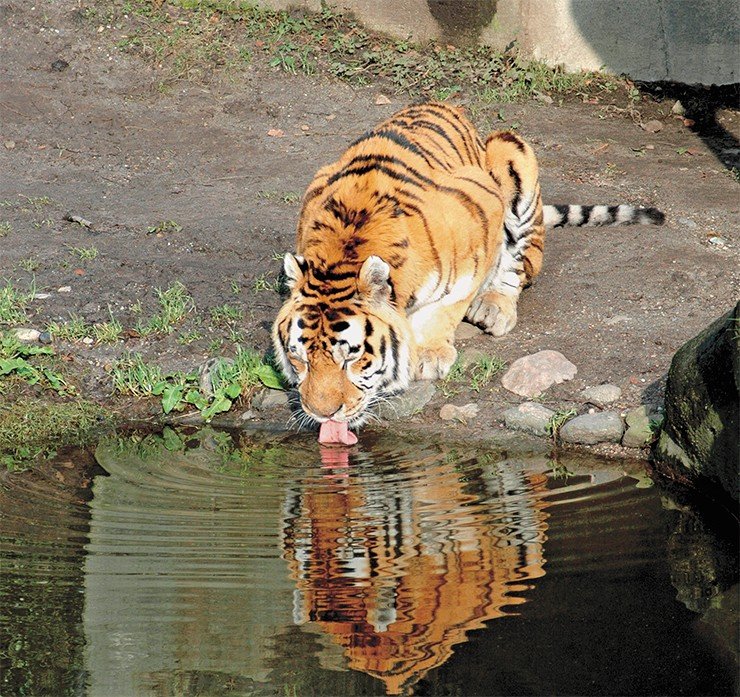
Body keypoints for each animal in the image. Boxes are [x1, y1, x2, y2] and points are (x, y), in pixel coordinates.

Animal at [272, 102, 664, 431]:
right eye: (299, 358)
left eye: (351, 359)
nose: (322, 414)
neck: (345, 248)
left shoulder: (483, 211)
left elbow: (448, 305)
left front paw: (429, 355)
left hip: (511, 149)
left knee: (518, 264)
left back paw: (493, 308)